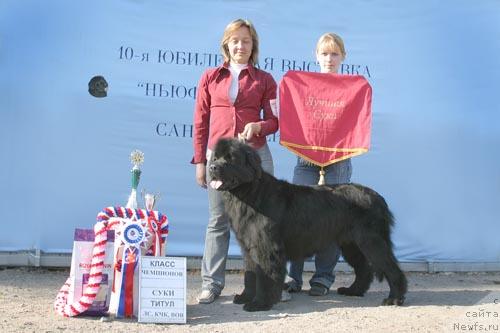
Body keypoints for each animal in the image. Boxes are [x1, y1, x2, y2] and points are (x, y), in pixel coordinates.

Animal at [209, 137, 408, 312]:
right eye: (215, 157)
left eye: (230, 158)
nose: (212, 167)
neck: (250, 193)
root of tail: (378, 197)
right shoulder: (249, 246)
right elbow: (250, 275)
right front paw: (245, 297)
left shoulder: (267, 248)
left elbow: (265, 277)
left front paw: (260, 304)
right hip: (351, 244)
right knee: (364, 268)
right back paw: (353, 291)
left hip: (371, 241)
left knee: (391, 267)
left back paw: (394, 298)